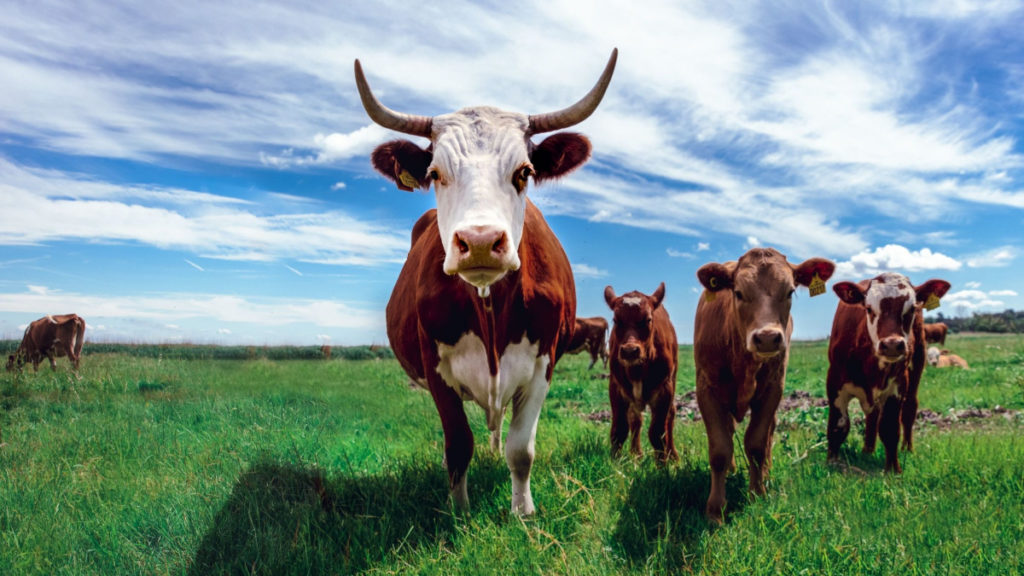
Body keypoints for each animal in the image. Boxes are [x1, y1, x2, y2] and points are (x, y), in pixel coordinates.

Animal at [356, 49, 618, 510]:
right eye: (436, 173)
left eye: (525, 172)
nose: (479, 241)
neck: (489, 306)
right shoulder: (435, 366)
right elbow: (458, 445)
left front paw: (522, 510)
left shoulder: (543, 363)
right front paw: (459, 510)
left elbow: (521, 448)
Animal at [602, 282, 675, 461]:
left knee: (670, 417)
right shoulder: (616, 387)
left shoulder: (665, 389)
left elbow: (657, 433)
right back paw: (636, 454)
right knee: (636, 420)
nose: (630, 351)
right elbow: (619, 430)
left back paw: (673, 456)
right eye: (616, 320)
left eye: (647, 319)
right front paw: (615, 462)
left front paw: (663, 465)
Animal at [692, 247, 835, 520]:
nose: (767, 338)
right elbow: (720, 449)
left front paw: (757, 494)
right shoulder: (706, 389)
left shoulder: (772, 389)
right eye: (738, 292)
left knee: (768, 434)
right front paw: (715, 509)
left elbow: (757, 443)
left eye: (790, 291)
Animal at [823, 272, 950, 471]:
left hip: (917, 364)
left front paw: (893, 469)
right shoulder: (835, 382)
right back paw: (867, 450)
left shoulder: (897, 386)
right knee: (872, 416)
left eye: (911, 309)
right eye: (868, 308)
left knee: (909, 408)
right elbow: (838, 426)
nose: (891, 344)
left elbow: (890, 429)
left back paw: (907, 448)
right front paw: (832, 463)